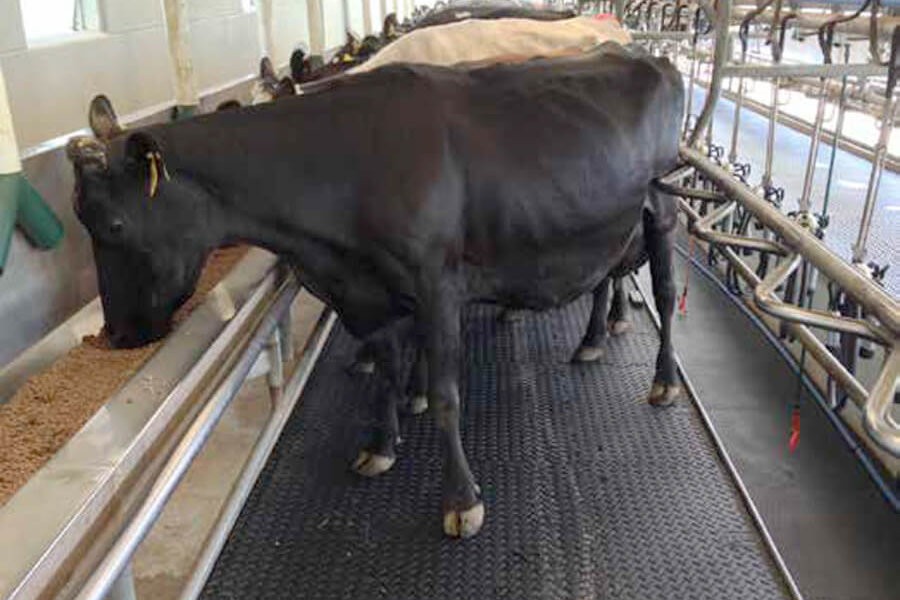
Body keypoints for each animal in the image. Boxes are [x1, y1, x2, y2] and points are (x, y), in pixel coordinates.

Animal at [67, 44, 684, 538]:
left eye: (114, 226)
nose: (116, 335)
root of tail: (645, 55)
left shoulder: (436, 284)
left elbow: (445, 395)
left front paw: (462, 501)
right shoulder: (367, 292)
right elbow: (386, 371)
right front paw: (380, 447)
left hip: (662, 208)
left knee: (664, 291)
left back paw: (663, 381)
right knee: (607, 274)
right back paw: (592, 339)